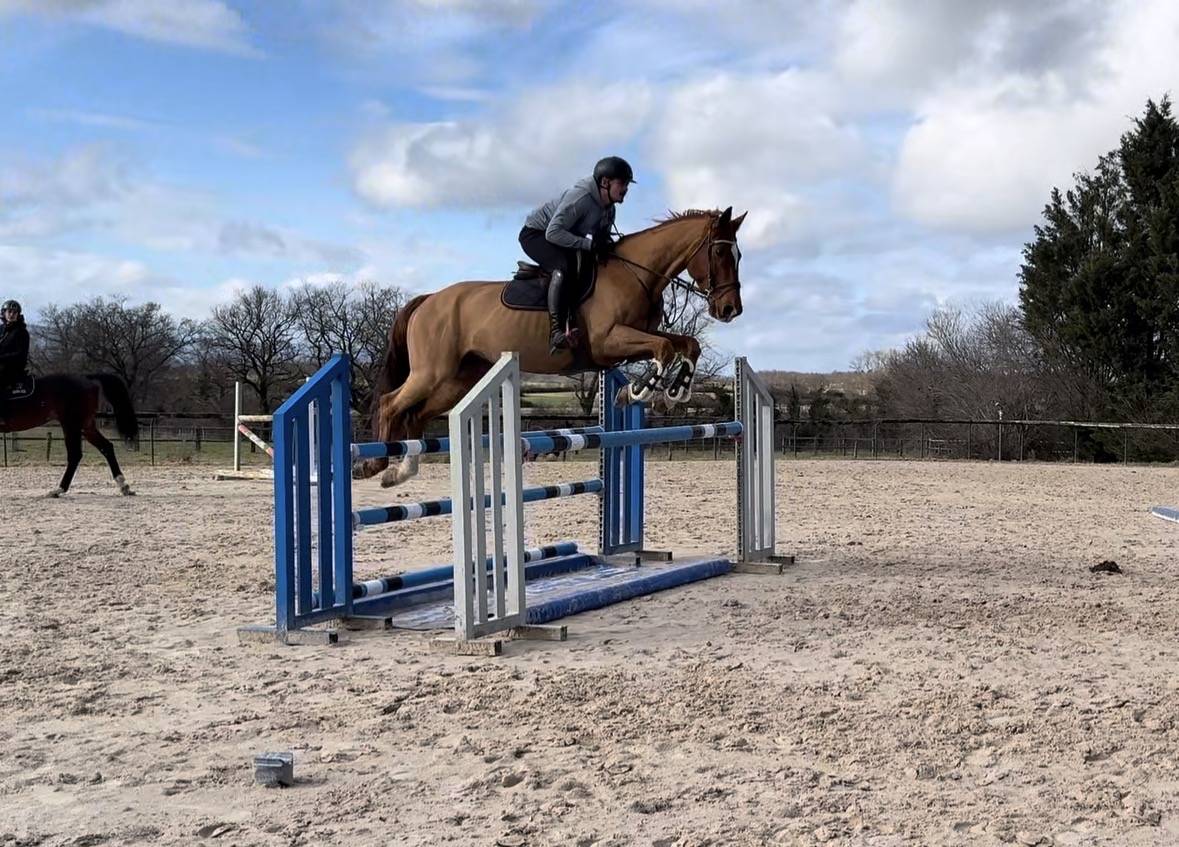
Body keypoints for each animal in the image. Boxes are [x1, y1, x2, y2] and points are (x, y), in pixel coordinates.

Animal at [0, 373, 139, 497]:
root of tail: (87, 378)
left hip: (71, 425)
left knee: (75, 455)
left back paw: (58, 490)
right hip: (85, 427)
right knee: (106, 447)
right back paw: (124, 486)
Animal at [358, 206, 748, 488]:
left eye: (739, 255)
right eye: (719, 252)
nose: (730, 309)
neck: (635, 273)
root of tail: (428, 300)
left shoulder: (633, 338)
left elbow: (686, 344)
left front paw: (673, 391)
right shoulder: (608, 341)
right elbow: (664, 349)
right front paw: (638, 391)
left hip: (458, 379)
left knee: (417, 414)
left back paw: (401, 471)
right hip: (431, 372)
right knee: (390, 403)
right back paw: (376, 464)